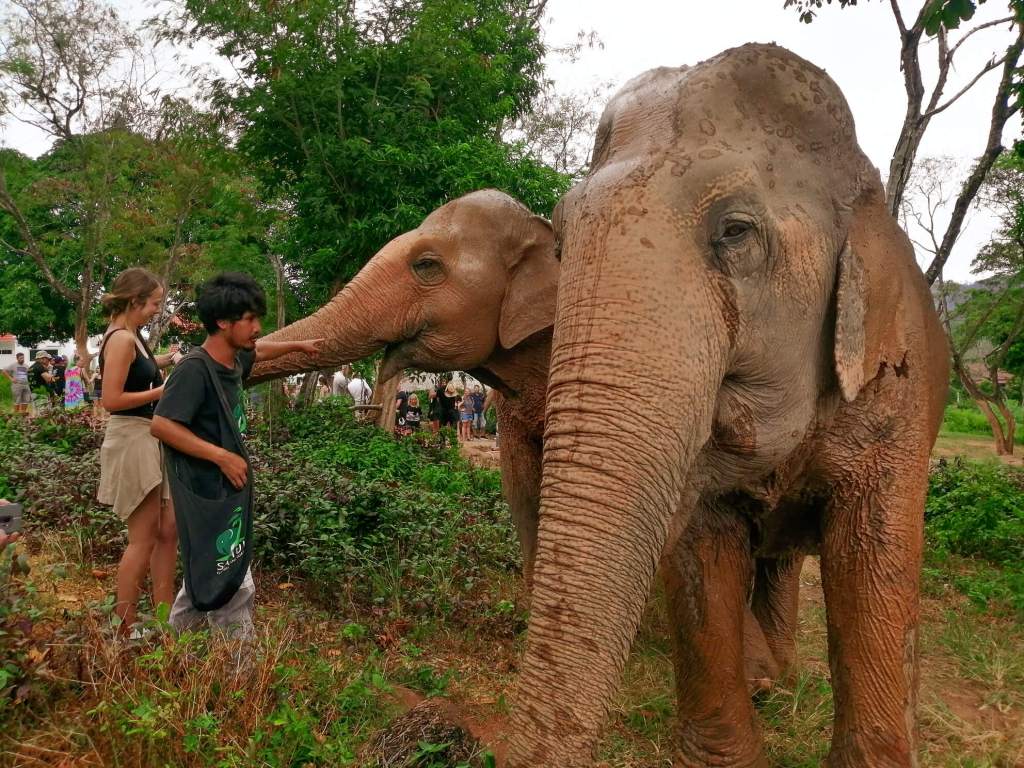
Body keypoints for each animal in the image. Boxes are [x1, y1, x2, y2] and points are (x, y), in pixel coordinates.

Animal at [501, 43, 949, 768]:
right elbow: (702, 556)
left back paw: (777, 680)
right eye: (562, 243)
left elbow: (873, 565)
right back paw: (768, 681)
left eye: (735, 231)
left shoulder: (896, 396)